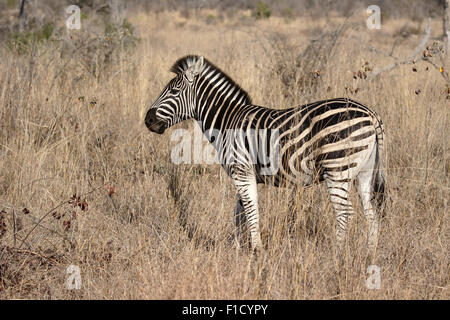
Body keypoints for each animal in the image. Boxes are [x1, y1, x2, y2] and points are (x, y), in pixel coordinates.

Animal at [146, 56, 384, 254]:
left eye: (173, 92)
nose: (148, 120)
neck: (227, 122)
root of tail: (370, 114)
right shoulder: (243, 174)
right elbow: (239, 214)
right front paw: (239, 248)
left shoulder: (242, 171)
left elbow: (251, 212)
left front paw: (257, 251)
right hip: (364, 172)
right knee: (370, 214)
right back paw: (370, 253)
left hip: (337, 169)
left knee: (345, 213)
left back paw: (336, 255)